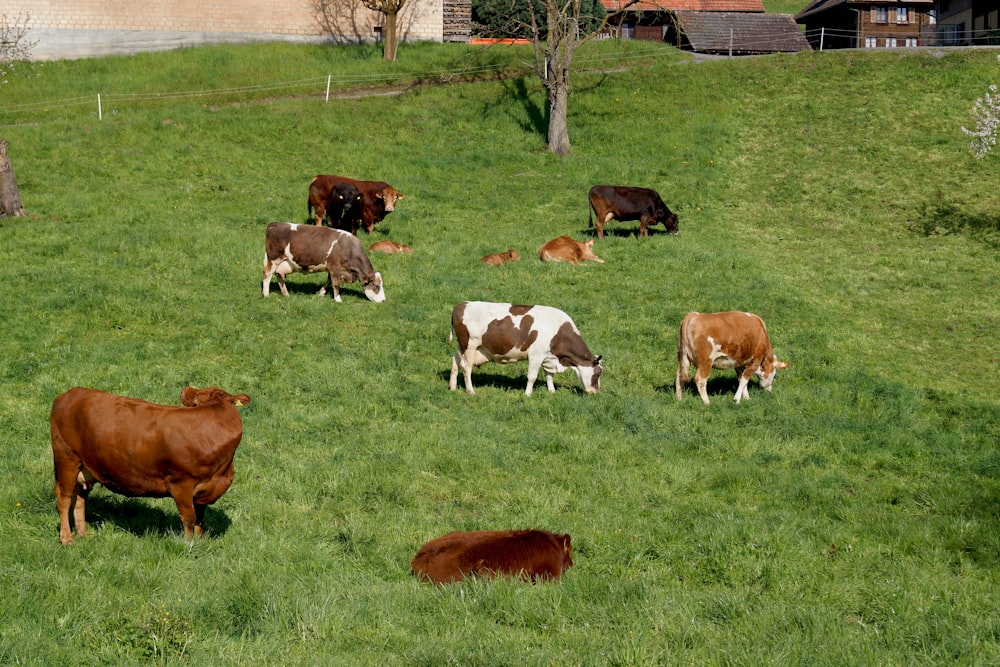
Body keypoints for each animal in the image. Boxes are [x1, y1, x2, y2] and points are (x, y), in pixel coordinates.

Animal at [50, 384, 254, 544]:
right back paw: (66, 539)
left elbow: (200, 519)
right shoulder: (181, 483)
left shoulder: (205, 490)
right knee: (64, 499)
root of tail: (69, 394)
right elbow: (189, 518)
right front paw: (188, 544)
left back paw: (82, 534)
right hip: (66, 458)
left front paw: (200, 541)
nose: (186, 389)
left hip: (85, 466)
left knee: (80, 498)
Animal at [452, 302, 600, 396]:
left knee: (455, 362)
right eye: (598, 373)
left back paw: (452, 387)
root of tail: (462, 304)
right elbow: (532, 377)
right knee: (466, 368)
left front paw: (552, 391)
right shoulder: (536, 355)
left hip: (461, 347)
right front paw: (528, 394)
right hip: (470, 346)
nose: (596, 392)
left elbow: (549, 375)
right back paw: (470, 391)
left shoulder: (549, 357)